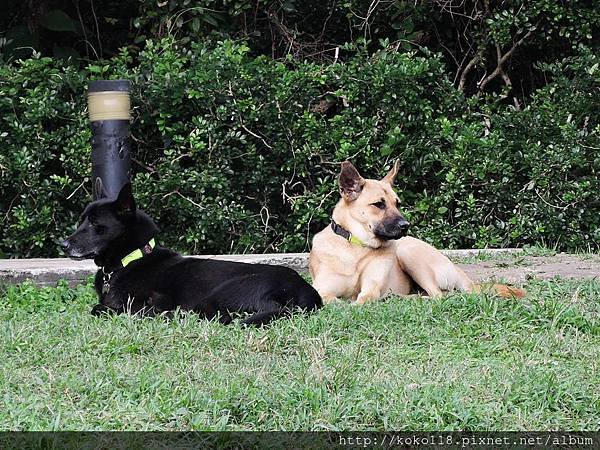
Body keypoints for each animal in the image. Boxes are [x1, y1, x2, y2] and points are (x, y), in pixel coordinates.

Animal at [60, 185, 322, 326]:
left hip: (222, 295)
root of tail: (305, 290)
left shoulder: (156, 300)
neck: (131, 259)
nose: (63, 245)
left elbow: (101, 308)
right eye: (81, 220)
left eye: (95, 225)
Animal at [310, 160, 524, 304]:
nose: (406, 225)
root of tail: (459, 271)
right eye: (379, 204)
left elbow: (363, 299)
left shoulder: (371, 288)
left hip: (409, 253)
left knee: (437, 296)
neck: (356, 248)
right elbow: (333, 300)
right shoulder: (321, 290)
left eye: (397, 204)